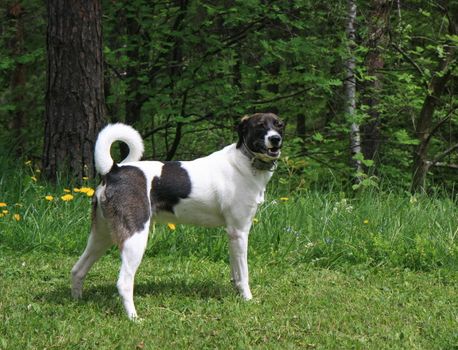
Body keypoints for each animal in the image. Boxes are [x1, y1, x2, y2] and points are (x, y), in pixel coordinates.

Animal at [70, 113, 282, 320]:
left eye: (279, 124)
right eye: (260, 125)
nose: (275, 139)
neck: (245, 162)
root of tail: (114, 169)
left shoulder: (233, 235)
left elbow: (236, 271)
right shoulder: (239, 232)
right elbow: (244, 273)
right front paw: (248, 299)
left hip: (101, 236)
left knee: (77, 270)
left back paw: (76, 301)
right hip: (134, 239)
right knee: (124, 282)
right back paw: (133, 317)